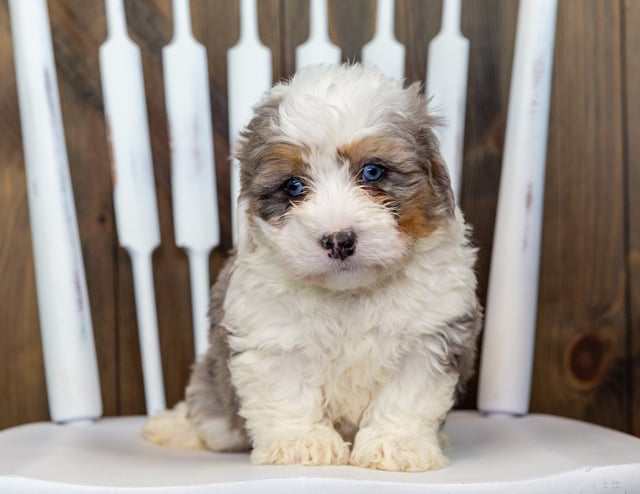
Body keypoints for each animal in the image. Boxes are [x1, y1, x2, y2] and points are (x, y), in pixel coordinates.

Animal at [145, 63, 482, 472]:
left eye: (373, 172)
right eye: (293, 186)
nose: (338, 240)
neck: (350, 294)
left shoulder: (430, 336)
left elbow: (406, 398)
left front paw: (396, 445)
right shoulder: (271, 334)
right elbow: (287, 392)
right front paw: (301, 443)